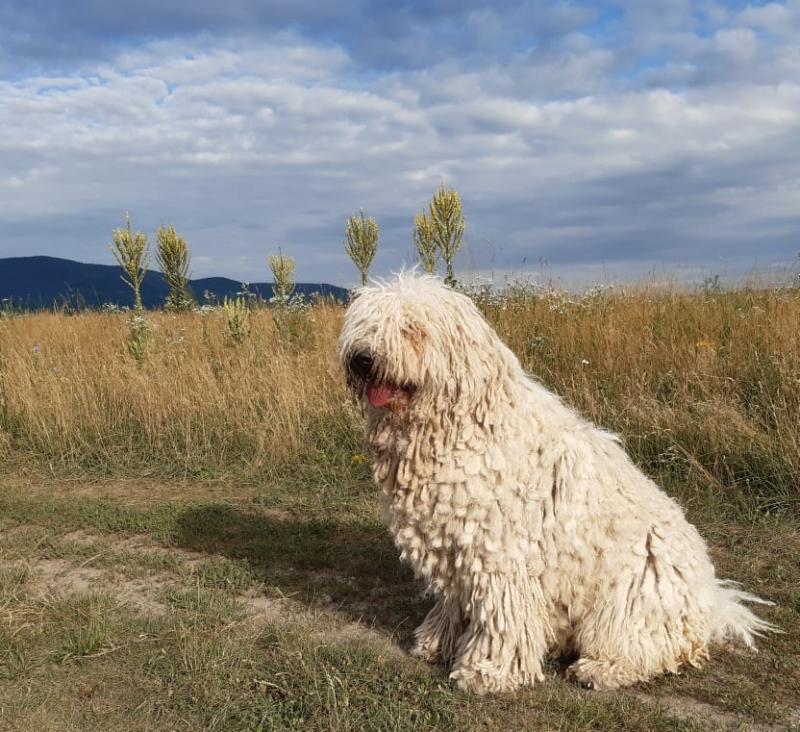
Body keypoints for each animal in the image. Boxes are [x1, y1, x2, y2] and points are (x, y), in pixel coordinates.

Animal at [338, 273, 775, 694]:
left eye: (412, 329)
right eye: (365, 324)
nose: (362, 358)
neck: (460, 428)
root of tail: (712, 602)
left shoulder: (500, 553)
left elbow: (502, 614)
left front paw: (489, 672)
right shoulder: (449, 543)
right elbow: (453, 601)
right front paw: (435, 643)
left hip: (636, 592)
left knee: (652, 646)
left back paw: (602, 669)